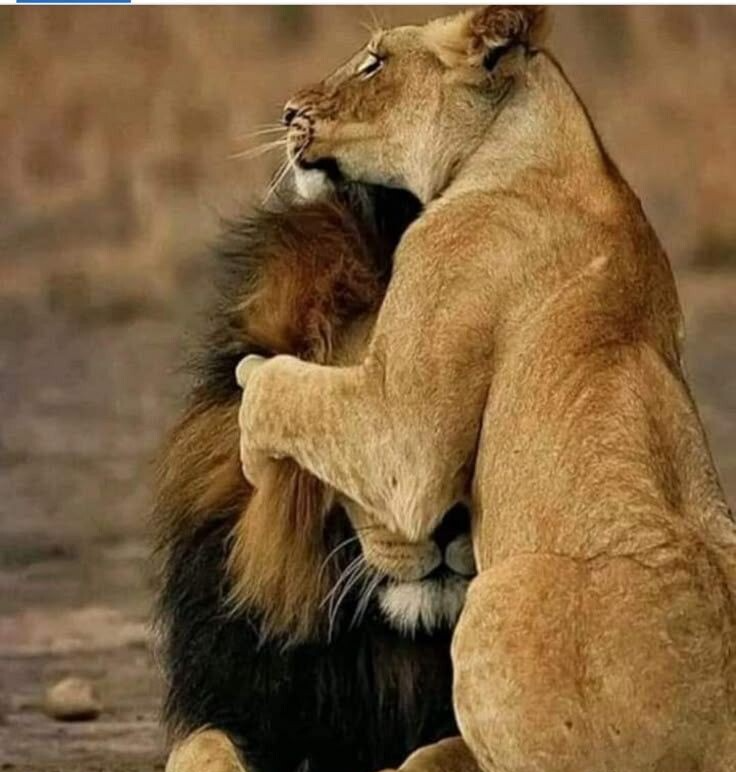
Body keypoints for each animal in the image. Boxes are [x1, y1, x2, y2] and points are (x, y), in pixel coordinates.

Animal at [236, 7, 736, 772]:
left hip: (489, 603)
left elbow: (278, 388)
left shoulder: (403, 433)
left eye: (374, 62)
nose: (289, 113)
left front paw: (248, 416)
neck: (547, 149)